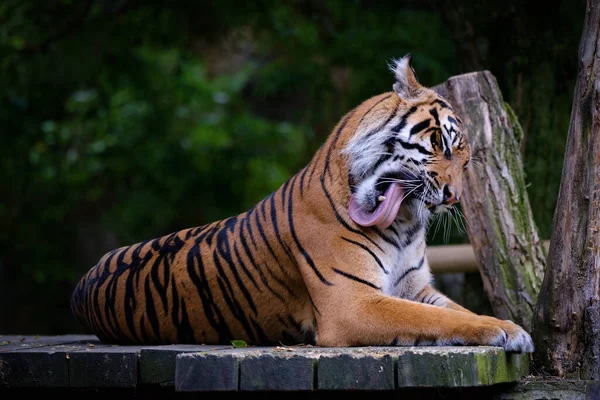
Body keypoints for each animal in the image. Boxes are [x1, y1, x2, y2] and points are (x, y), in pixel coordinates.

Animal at [70, 54, 536, 352]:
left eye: (466, 161)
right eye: (441, 143)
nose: (453, 195)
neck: (403, 226)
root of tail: (82, 282)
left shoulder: (417, 288)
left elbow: (458, 311)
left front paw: (509, 326)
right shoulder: (352, 302)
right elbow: (437, 320)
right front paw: (509, 331)